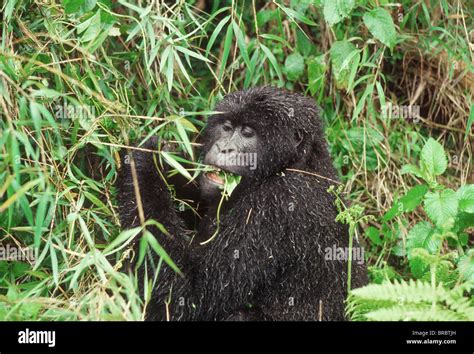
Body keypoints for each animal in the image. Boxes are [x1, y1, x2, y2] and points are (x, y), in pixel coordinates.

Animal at [116, 85, 368, 320]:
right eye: (227, 127)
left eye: (248, 133)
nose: (224, 148)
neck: (294, 163)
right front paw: (166, 160)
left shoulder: (275, 204)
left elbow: (191, 296)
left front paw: (142, 161)